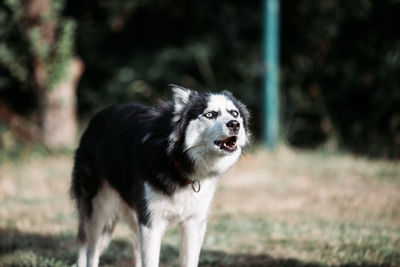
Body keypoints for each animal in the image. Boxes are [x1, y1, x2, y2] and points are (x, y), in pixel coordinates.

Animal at [70, 84, 248, 267]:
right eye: (210, 114)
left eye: (234, 113)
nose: (234, 124)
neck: (176, 159)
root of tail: (97, 117)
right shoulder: (151, 222)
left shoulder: (193, 223)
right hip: (98, 209)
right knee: (90, 249)